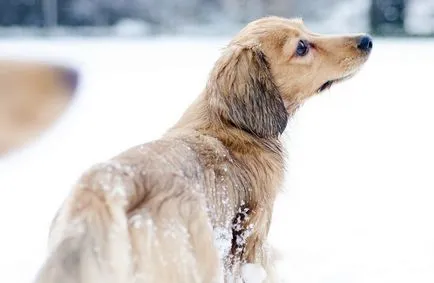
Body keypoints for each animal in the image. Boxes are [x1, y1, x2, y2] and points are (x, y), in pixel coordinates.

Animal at [34, 16, 372, 282]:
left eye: (306, 28)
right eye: (301, 47)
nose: (366, 40)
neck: (231, 123)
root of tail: (107, 188)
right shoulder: (253, 233)